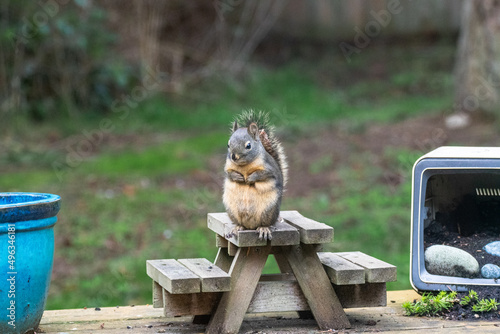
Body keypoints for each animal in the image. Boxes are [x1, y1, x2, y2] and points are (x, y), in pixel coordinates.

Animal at [224, 111, 290, 241]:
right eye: (228, 144)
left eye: (248, 146)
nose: (234, 156)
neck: (244, 166)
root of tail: (251, 225)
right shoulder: (227, 166)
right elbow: (229, 174)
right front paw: (238, 177)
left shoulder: (269, 168)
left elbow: (262, 174)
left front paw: (250, 178)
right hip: (232, 210)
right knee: (241, 224)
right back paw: (237, 227)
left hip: (268, 210)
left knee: (265, 223)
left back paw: (264, 228)